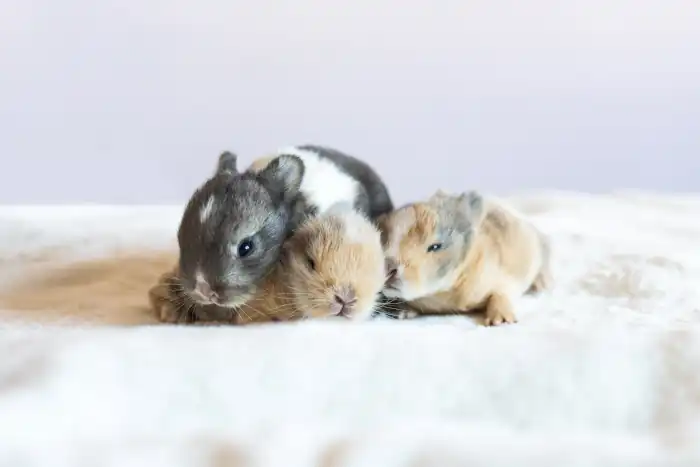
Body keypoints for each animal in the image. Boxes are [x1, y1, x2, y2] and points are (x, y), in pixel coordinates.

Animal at [378, 190, 552, 326]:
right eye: (382, 240)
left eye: (436, 246)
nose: (388, 267)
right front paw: (402, 313)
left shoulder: (506, 279)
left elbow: (500, 294)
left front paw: (501, 320)